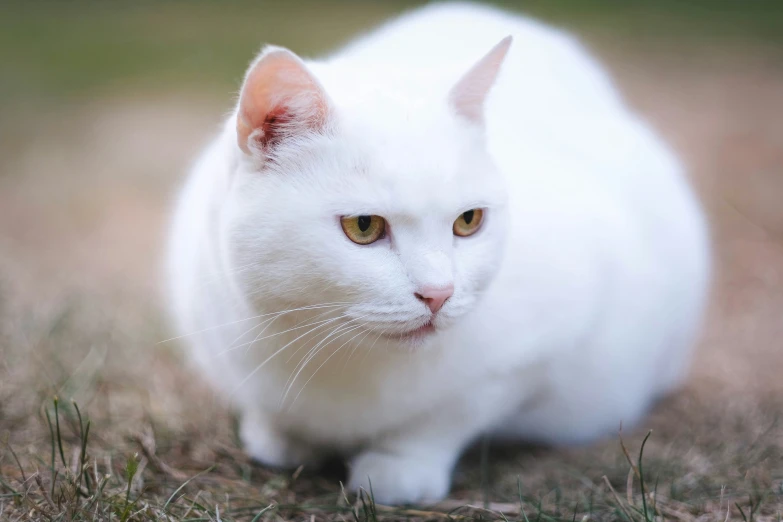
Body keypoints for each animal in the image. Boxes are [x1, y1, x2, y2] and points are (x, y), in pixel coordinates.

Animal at [165, 1, 712, 504]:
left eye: (468, 221)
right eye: (363, 226)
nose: (439, 294)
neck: (339, 359)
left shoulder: (533, 352)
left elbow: (447, 417)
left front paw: (398, 468)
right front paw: (278, 436)